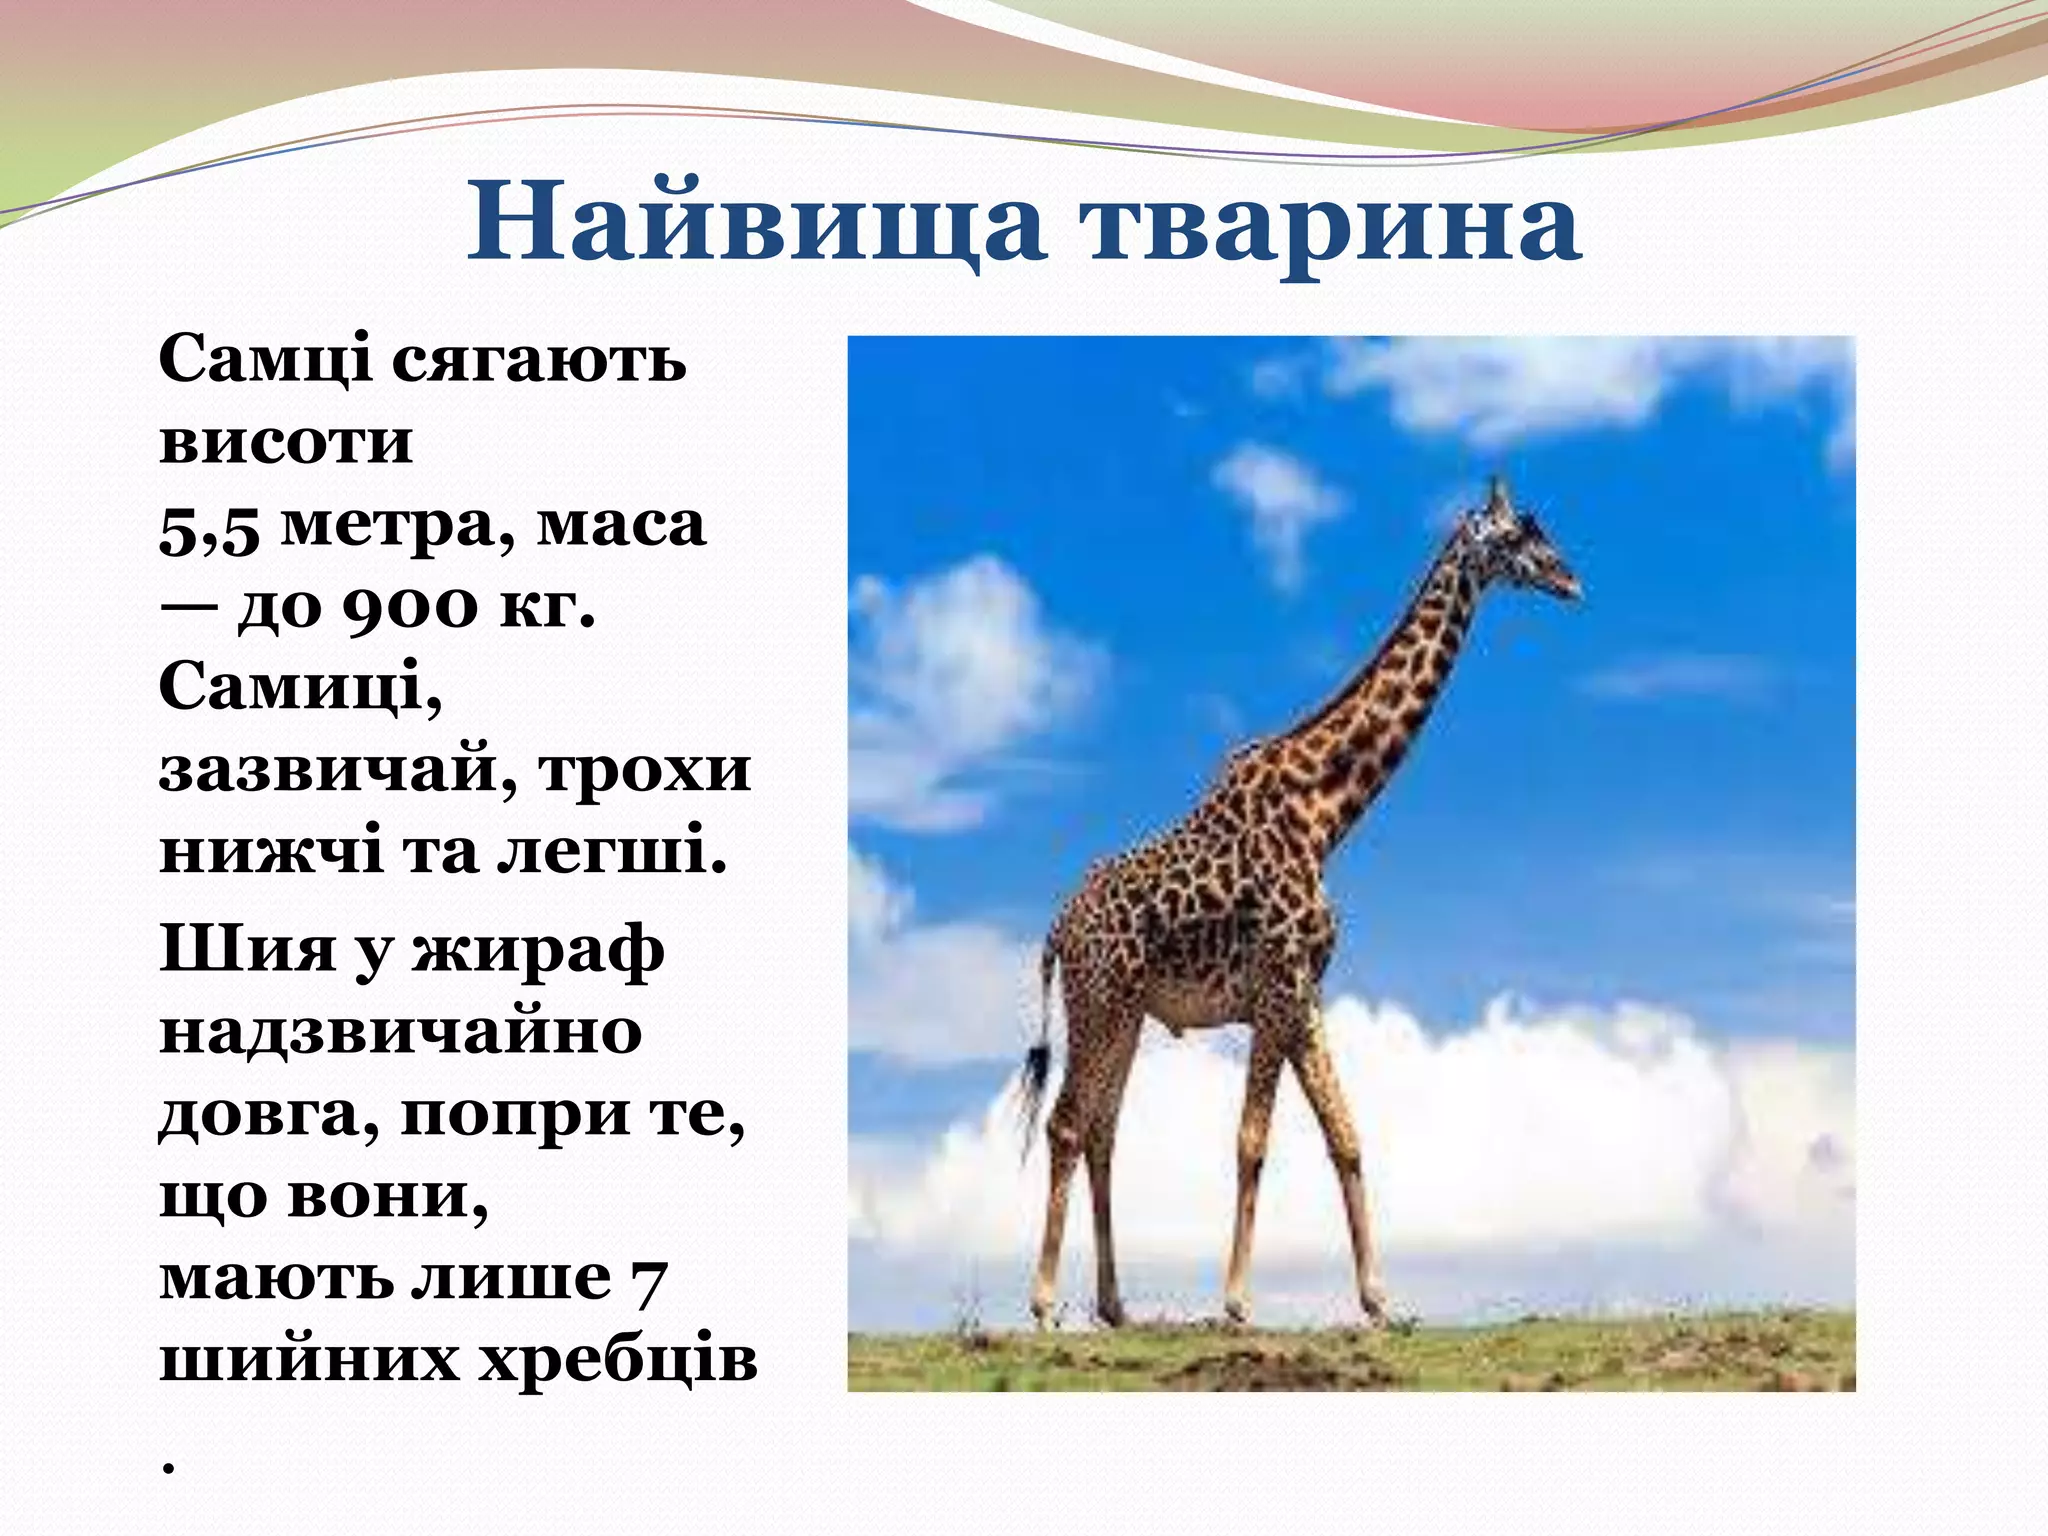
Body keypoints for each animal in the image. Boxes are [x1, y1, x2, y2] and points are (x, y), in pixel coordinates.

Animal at [1018, 475, 1580, 1329]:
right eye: (1520, 536)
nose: (1571, 579)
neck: (1329, 812)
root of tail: (1055, 928)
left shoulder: (1305, 992)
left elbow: (1346, 1135)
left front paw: (1379, 1299)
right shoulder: (1277, 984)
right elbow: (1252, 1140)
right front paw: (1237, 1302)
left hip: (1127, 1012)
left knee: (1103, 1130)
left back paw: (1116, 1308)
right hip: (1100, 998)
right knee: (1068, 1123)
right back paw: (1047, 1304)